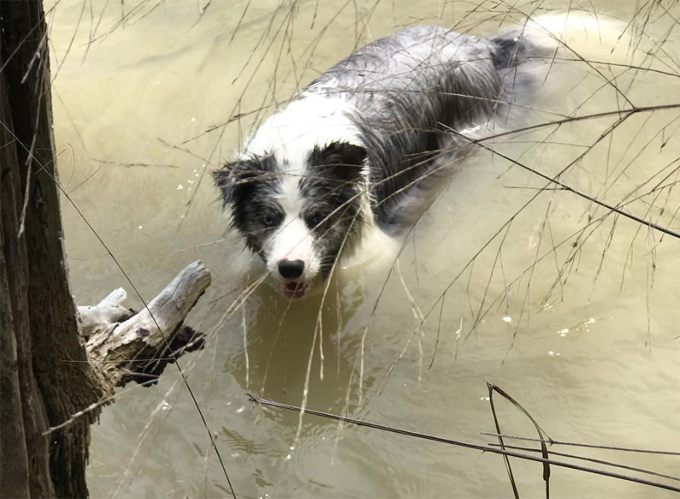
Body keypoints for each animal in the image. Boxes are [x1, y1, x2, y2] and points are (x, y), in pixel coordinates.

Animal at [212, 13, 628, 298]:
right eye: (268, 218)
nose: (291, 268)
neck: (300, 143)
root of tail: (480, 46)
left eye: (318, 217)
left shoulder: (375, 247)